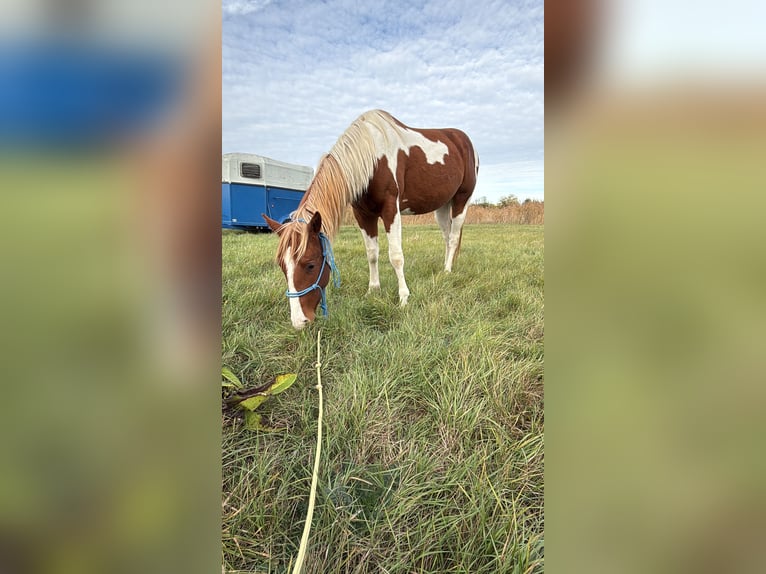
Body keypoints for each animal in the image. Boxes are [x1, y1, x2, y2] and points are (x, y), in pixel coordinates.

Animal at [263, 109, 478, 329]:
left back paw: (448, 271)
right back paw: (445, 268)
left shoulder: (391, 210)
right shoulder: (363, 214)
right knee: (447, 237)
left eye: (310, 265)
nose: (299, 321)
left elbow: (396, 256)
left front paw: (403, 298)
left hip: (461, 200)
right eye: (282, 266)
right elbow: (372, 254)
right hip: (442, 207)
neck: (372, 157)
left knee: (453, 238)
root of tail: (463, 140)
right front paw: (373, 290)